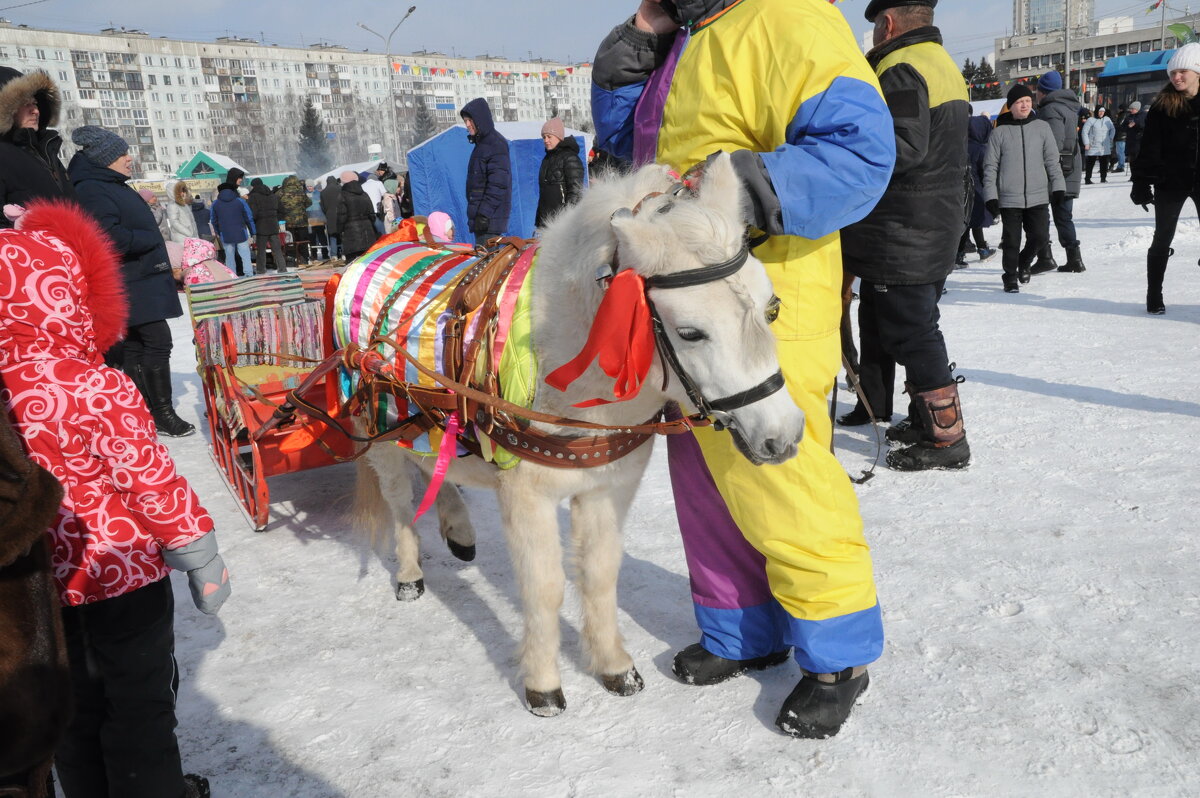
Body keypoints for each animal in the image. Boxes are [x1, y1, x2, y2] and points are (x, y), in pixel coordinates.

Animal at [355, 153, 806, 715]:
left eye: (773, 308)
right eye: (690, 333)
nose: (783, 435)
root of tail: (378, 248)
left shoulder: (606, 488)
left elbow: (599, 574)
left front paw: (613, 665)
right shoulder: (526, 494)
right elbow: (544, 586)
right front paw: (543, 683)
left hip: (431, 424)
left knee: (436, 465)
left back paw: (458, 529)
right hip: (380, 433)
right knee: (399, 500)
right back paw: (410, 573)